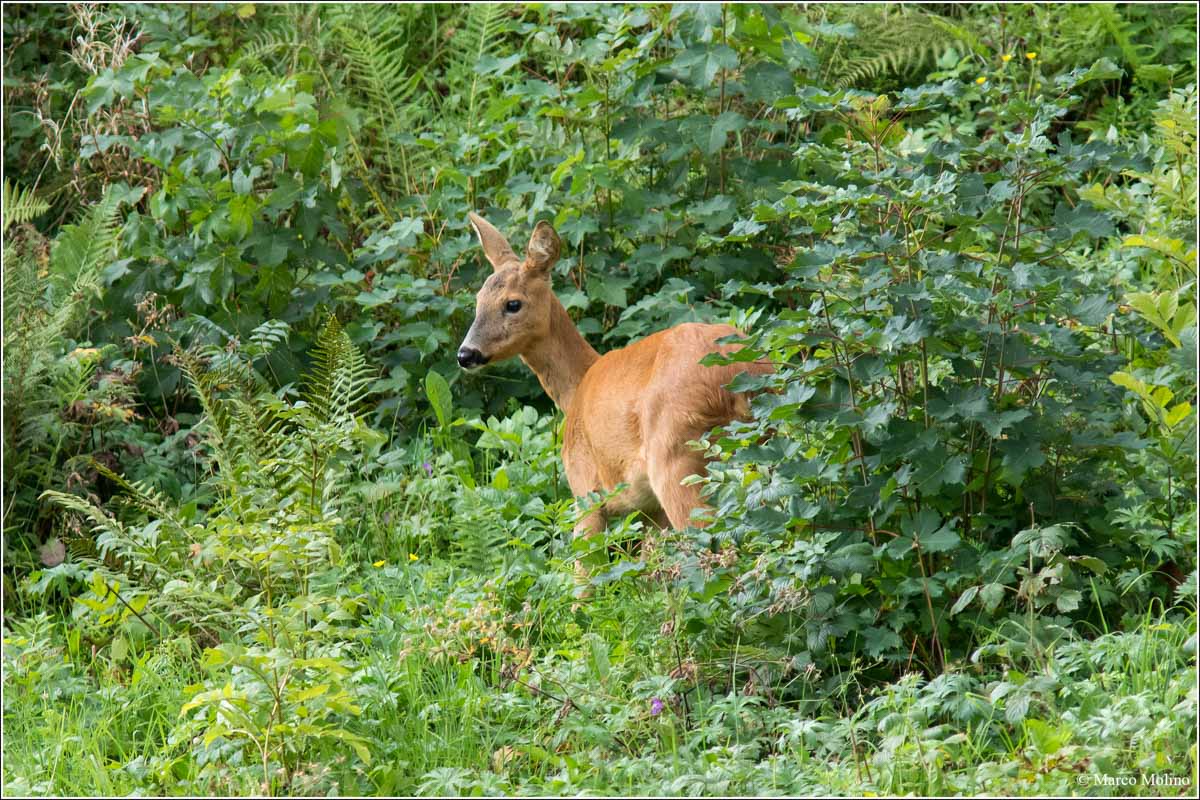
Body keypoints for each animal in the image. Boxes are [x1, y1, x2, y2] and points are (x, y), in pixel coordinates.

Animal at [453, 212, 772, 573]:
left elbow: (586, 571)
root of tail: (738, 374)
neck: (575, 389)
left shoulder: (585, 489)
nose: (466, 354)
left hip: (678, 453)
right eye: (477, 302)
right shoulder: (650, 510)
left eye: (512, 304)